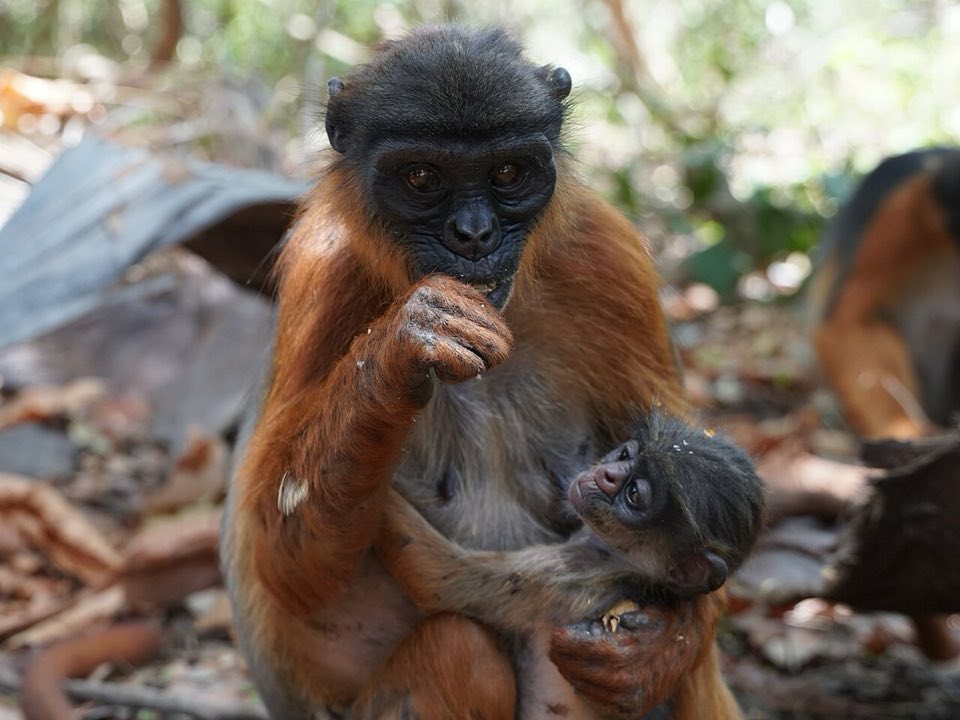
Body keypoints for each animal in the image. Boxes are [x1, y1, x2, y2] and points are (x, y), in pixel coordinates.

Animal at [221, 25, 763, 719]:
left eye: (507, 172)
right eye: (421, 177)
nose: (474, 234)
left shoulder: (606, 254)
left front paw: (657, 652)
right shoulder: (326, 267)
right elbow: (287, 571)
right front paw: (406, 343)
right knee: (460, 648)